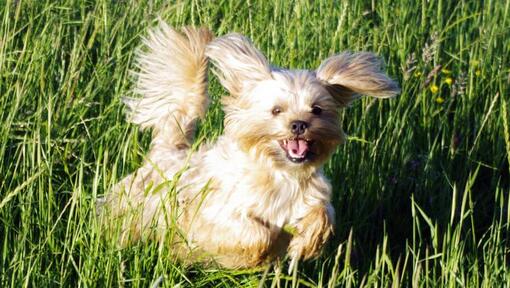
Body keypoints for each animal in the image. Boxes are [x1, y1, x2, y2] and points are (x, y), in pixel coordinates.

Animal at [101, 21, 400, 268]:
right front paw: (255, 254)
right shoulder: (215, 213)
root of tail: (167, 151)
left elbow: (321, 215)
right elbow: (256, 232)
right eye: (277, 110)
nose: (299, 124)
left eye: (316, 109)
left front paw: (304, 244)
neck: (280, 174)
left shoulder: (309, 198)